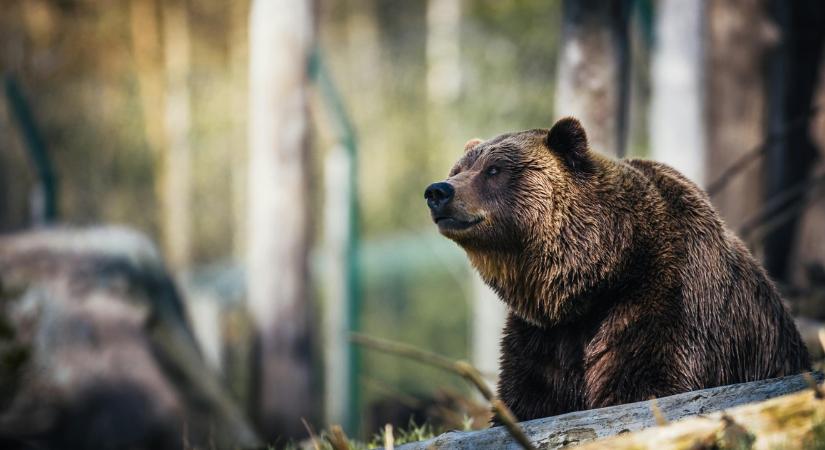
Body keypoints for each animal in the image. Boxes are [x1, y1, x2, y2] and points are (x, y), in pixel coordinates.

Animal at [422, 116, 808, 422]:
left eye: (494, 170)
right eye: (458, 169)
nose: (438, 191)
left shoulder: (664, 302)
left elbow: (646, 384)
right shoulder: (543, 338)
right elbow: (528, 399)